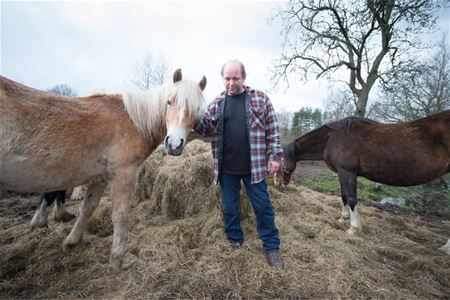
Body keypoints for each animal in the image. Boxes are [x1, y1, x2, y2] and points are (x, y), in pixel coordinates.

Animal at [0, 70, 207, 270]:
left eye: (197, 110)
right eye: (169, 101)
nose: (174, 145)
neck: (134, 120)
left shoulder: (99, 178)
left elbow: (87, 208)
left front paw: (71, 242)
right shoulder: (123, 173)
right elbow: (120, 215)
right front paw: (119, 260)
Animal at [280, 110, 448, 251]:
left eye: (280, 162)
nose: (281, 185)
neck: (332, 138)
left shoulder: (348, 172)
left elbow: (351, 199)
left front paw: (354, 228)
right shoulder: (342, 172)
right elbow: (343, 196)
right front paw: (343, 219)